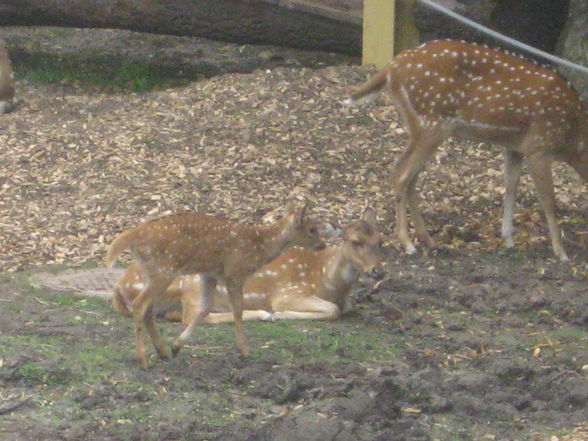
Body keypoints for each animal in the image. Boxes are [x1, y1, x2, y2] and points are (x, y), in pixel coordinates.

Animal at [105, 201, 326, 366]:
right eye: (312, 229)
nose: (323, 245)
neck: (260, 246)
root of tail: (133, 234)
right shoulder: (234, 273)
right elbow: (237, 309)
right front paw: (244, 350)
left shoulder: (208, 274)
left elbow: (205, 307)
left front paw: (177, 346)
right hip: (163, 271)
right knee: (139, 305)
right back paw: (142, 360)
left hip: (151, 272)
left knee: (147, 309)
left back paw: (162, 351)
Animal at [112, 206, 384, 324]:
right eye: (354, 241)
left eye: (380, 240)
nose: (377, 270)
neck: (326, 279)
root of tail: (121, 285)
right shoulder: (288, 292)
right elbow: (332, 310)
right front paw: (280, 314)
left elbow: (345, 308)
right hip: (189, 280)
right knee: (195, 315)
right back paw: (263, 314)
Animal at [344, 39, 588, 260]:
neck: (574, 139)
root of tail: (391, 67)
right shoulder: (539, 146)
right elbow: (549, 201)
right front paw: (561, 253)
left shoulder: (515, 147)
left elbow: (510, 188)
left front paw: (508, 239)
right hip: (432, 122)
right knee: (401, 173)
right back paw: (407, 243)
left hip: (423, 127)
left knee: (410, 176)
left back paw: (428, 240)